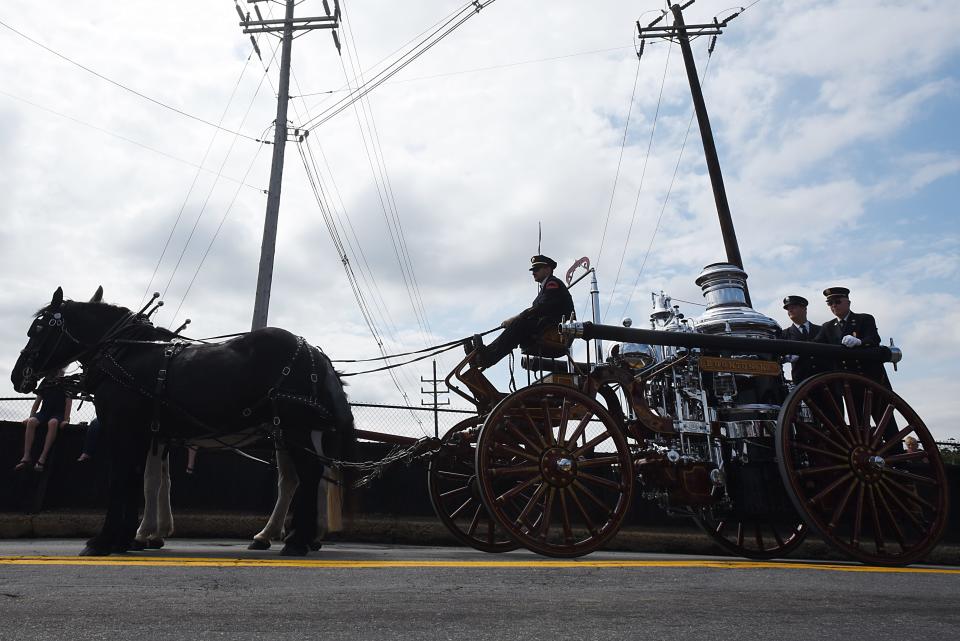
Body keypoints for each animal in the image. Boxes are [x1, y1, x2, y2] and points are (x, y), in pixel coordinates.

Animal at [10, 286, 356, 556]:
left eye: (37, 331)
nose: (16, 376)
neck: (125, 353)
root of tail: (316, 354)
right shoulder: (148, 433)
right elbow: (143, 480)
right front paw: (132, 536)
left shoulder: (123, 429)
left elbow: (124, 479)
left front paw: (106, 539)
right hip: (288, 431)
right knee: (301, 478)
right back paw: (291, 537)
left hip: (294, 427)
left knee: (308, 476)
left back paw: (297, 540)